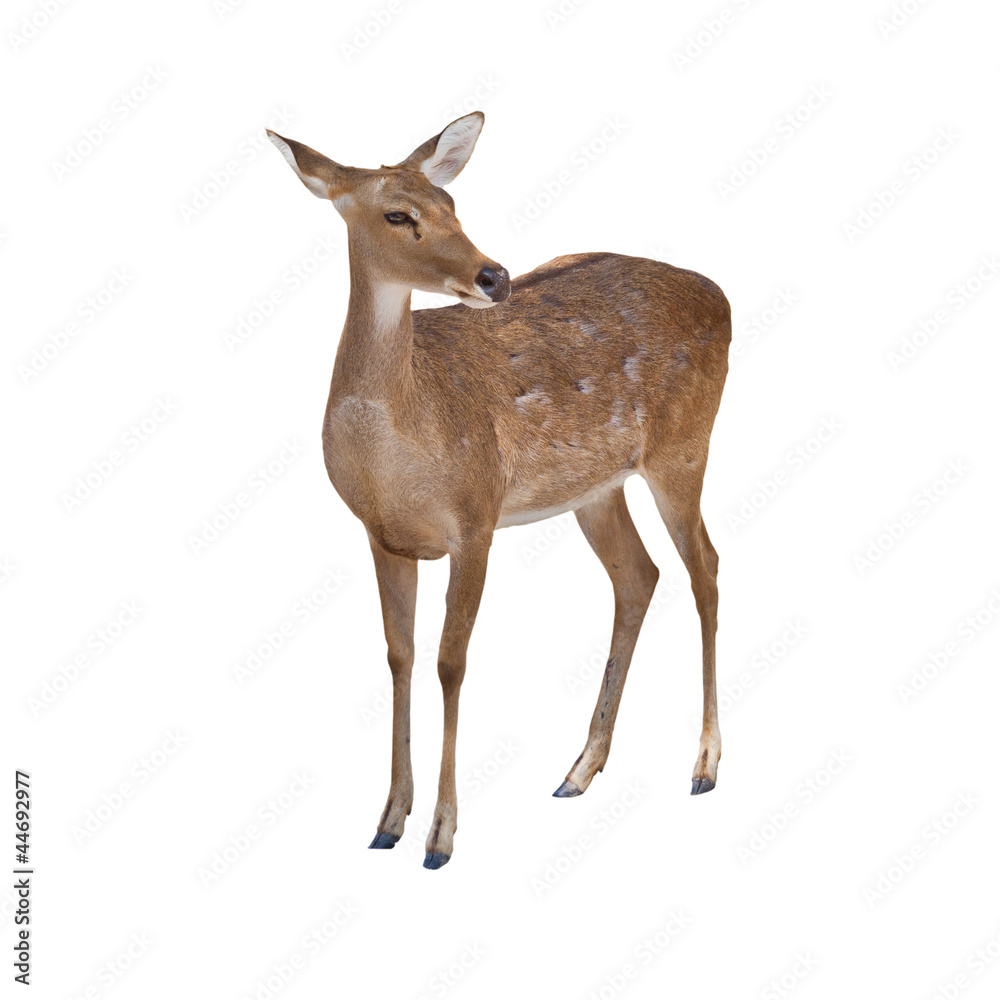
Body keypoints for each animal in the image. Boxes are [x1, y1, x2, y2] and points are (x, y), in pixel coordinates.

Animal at [266, 112, 730, 869]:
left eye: (453, 203)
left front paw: (441, 837)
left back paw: (705, 765)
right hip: (596, 488)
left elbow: (451, 662)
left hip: (684, 447)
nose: (496, 275)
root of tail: (721, 294)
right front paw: (387, 820)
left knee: (707, 568)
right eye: (398, 214)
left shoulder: (476, 518)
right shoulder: (381, 536)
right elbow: (399, 657)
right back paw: (578, 771)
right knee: (639, 575)